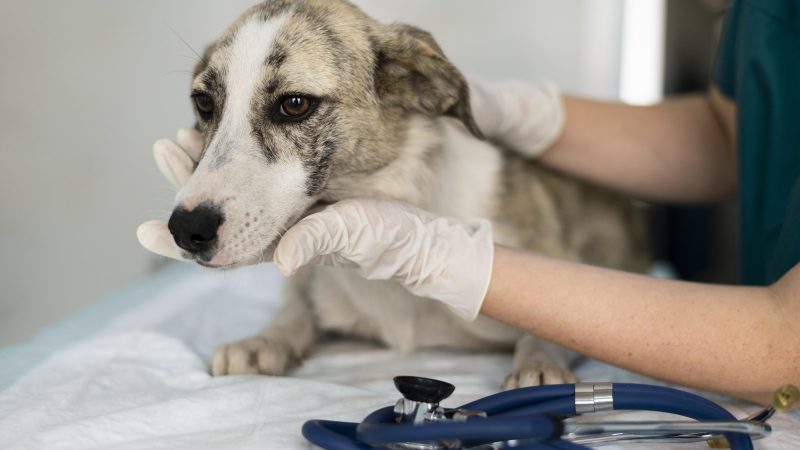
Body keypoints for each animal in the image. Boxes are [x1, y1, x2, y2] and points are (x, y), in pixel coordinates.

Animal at [167, 0, 644, 386]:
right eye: (204, 103)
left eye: (295, 104)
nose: (186, 230)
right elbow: (296, 308)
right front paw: (265, 339)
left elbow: (555, 328)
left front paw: (538, 364)